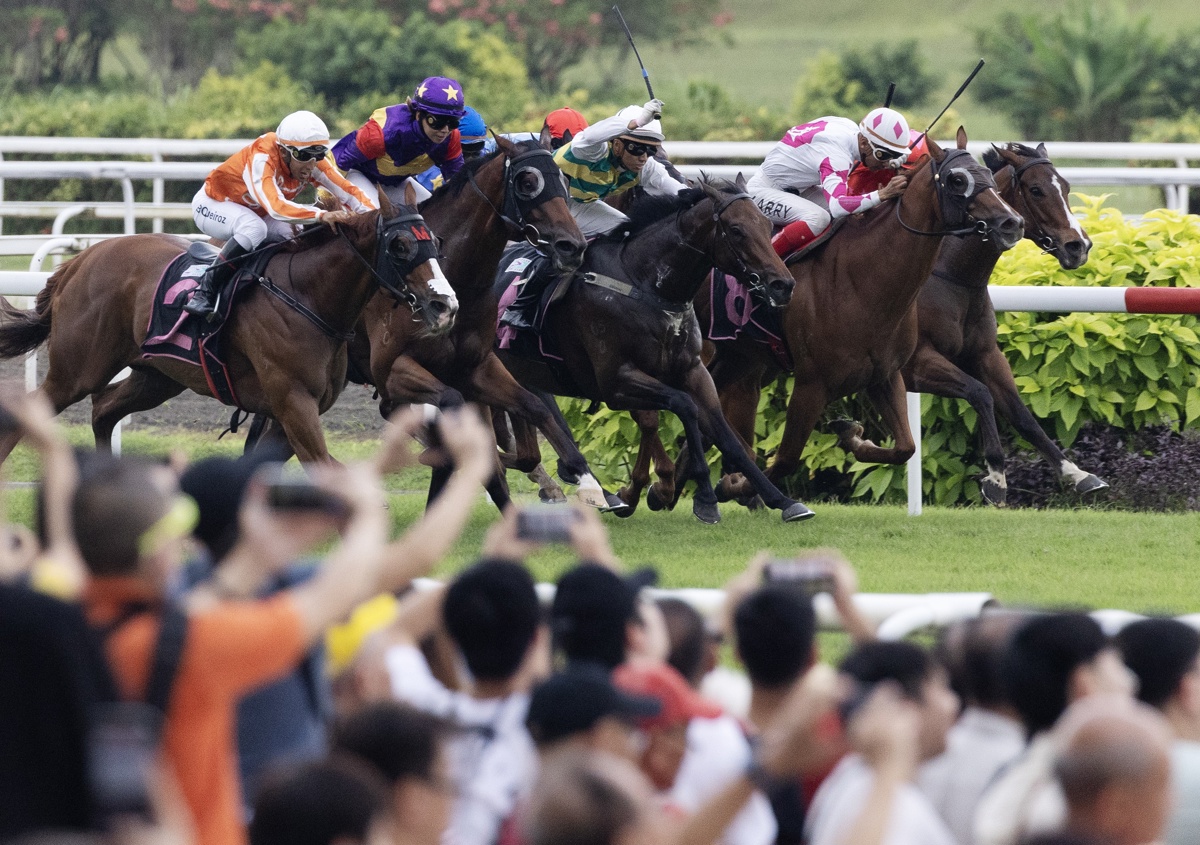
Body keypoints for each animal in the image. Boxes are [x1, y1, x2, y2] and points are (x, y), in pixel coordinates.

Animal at [0, 195, 451, 465]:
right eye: (400, 246)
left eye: (436, 240)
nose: (445, 304)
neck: (307, 295)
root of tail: (82, 259)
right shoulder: (293, 402)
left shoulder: (296, 411)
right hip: (77, 371)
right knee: (34, 412)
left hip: (158, 375)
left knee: (103, 409)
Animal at [492, 176, 811, 520]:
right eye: (736, 229)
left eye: (766, 225)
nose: (782, 284)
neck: (645, 284)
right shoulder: (616, 382)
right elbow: (684, 406)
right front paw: (703, 497)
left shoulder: (693, 371)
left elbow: (724, 434)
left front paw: (782, 500)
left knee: (528, 438)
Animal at [902, 141, 1104, 504]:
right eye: (1036, 190)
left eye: (1066, 187)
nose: (1078, 245)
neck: (952, 278)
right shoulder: (916, 363)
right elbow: (979, 393)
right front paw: (996, 476)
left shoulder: (986, 355)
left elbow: (1022, 414)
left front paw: (1077, 473)